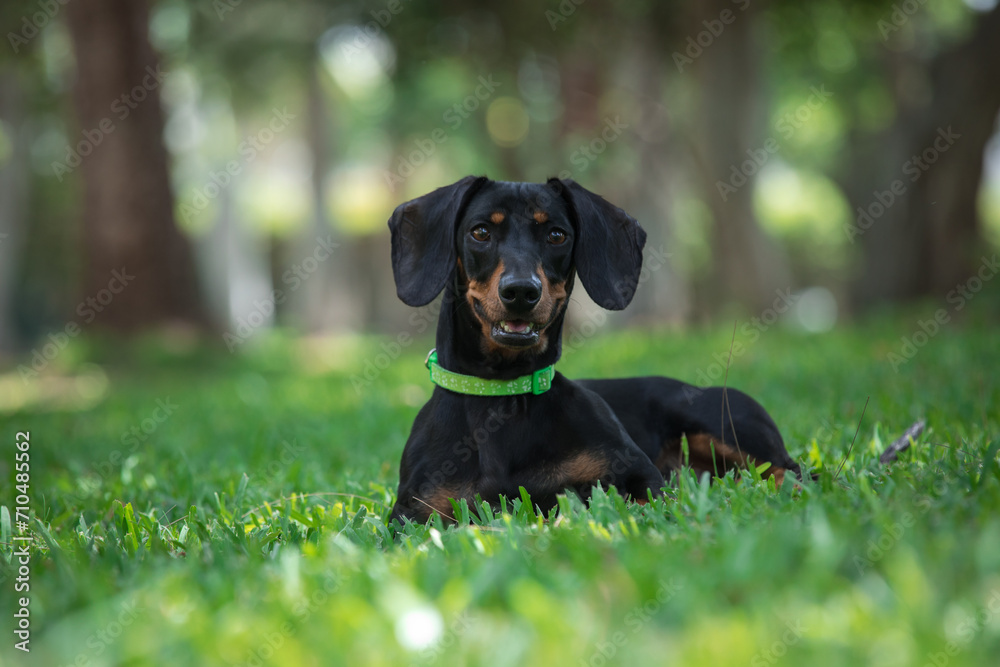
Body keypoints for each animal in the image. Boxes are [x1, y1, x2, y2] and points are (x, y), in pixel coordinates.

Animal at [386, 177, 800, 528]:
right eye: (481, 232)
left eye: (556, 235)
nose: (521, 291)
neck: (502, 395)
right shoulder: (413, 515)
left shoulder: (642, 478)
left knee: (789, 472)